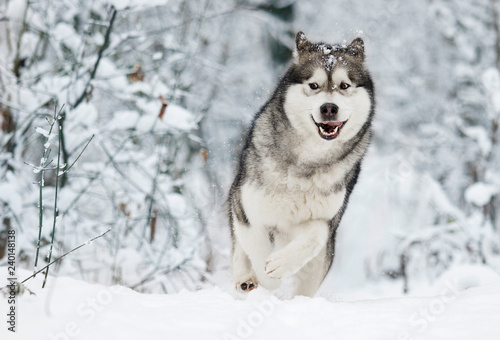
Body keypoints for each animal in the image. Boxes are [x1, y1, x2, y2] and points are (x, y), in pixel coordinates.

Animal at [229, 32, 374, 298]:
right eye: (314, 85)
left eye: (344, 86)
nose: (329, 108)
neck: (307, 160)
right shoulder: (246, 205)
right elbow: (255, 246)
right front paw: (265, 275)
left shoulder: (325, 220)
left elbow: (315, 237)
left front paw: (280, 264)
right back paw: (245, 277)